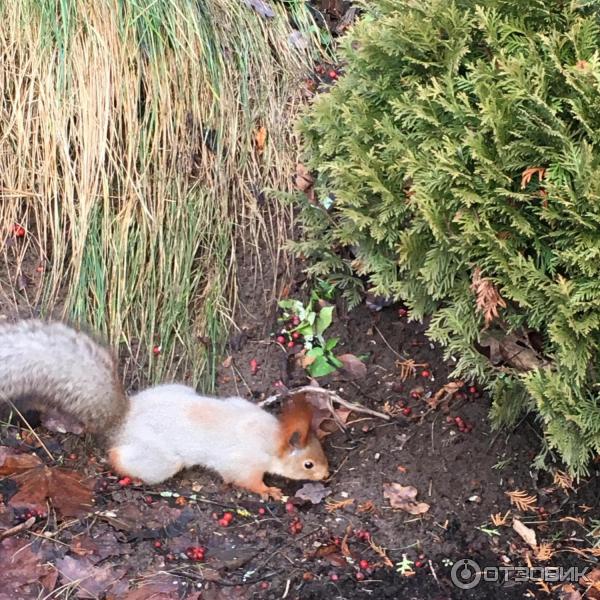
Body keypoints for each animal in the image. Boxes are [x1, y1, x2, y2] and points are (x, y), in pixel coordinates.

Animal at [0, 322, 328, 500]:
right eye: (308, 464)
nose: (326, 475)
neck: (272, 436)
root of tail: (122, 420)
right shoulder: (243, 462)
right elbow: (245, 479)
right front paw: (268, 491)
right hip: (162, 460)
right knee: (122, 457)